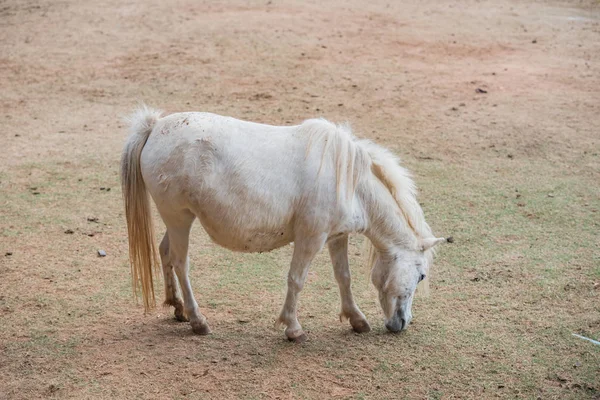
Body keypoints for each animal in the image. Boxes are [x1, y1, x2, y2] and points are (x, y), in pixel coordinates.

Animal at [120, 104, 450, 342]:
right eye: (421, 276)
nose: (402, 323)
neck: (350, 182)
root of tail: (155, 127)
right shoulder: (311, 238)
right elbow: (296, 279)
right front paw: (293, 328)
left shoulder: (336, 237)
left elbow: (343, 277)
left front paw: (356, 319)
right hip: (179, 219)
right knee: (180, 262)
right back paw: (197, 320)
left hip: (177, 221)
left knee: (165, 253)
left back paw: (177, 308)